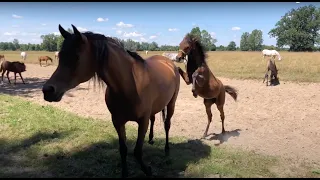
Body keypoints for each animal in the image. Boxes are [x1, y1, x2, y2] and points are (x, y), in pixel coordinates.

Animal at [41, 24, 181, 178]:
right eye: (60, 56)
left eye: (76, 57)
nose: (48, 90)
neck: (131, 85)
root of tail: (169, 62)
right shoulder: (117, 121)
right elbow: (123, 149)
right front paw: (125, 173)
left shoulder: (142, 121)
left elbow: (137, 151)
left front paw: (148, 170)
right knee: (154, 118)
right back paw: (151, 139)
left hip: (172, 103)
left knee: (167, 124)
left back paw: (167, 149)